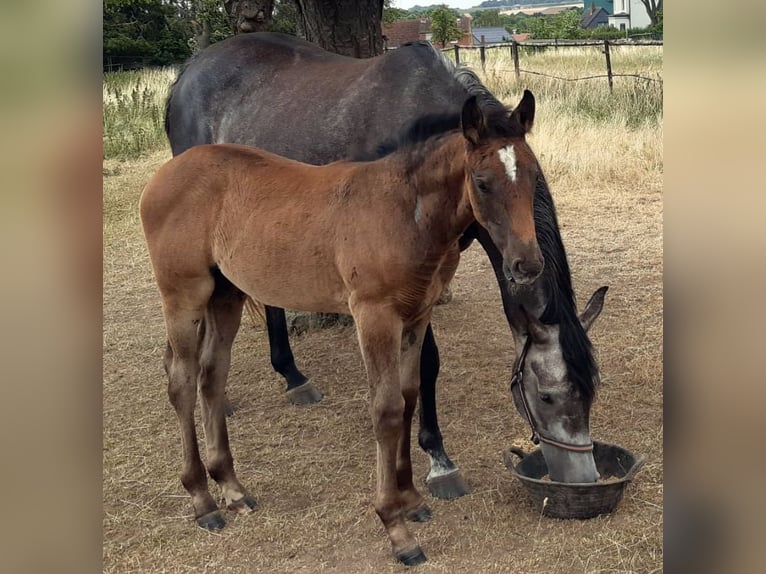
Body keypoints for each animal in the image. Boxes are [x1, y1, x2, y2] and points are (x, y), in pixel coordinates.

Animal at [141, 95, 544, 564]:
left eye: (534, 175)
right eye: (482, 182)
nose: (527, 264)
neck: (404, 213)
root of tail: (165, 174)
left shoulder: (416, 315)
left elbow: (409, 397)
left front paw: (412, 498)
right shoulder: (374, 316)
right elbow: (386, 410)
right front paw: (396, 527)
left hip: (225, 295)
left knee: (211, 375)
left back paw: (232, 487)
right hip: (183, 295)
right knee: (182, 380)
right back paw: (202, 500)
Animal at [164, 32, 607, 492]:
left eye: (592, 389)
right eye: (547, 395)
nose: (582, 477)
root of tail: (189, 71)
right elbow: (427, 363)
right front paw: (438, 458)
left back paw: (290, 376)